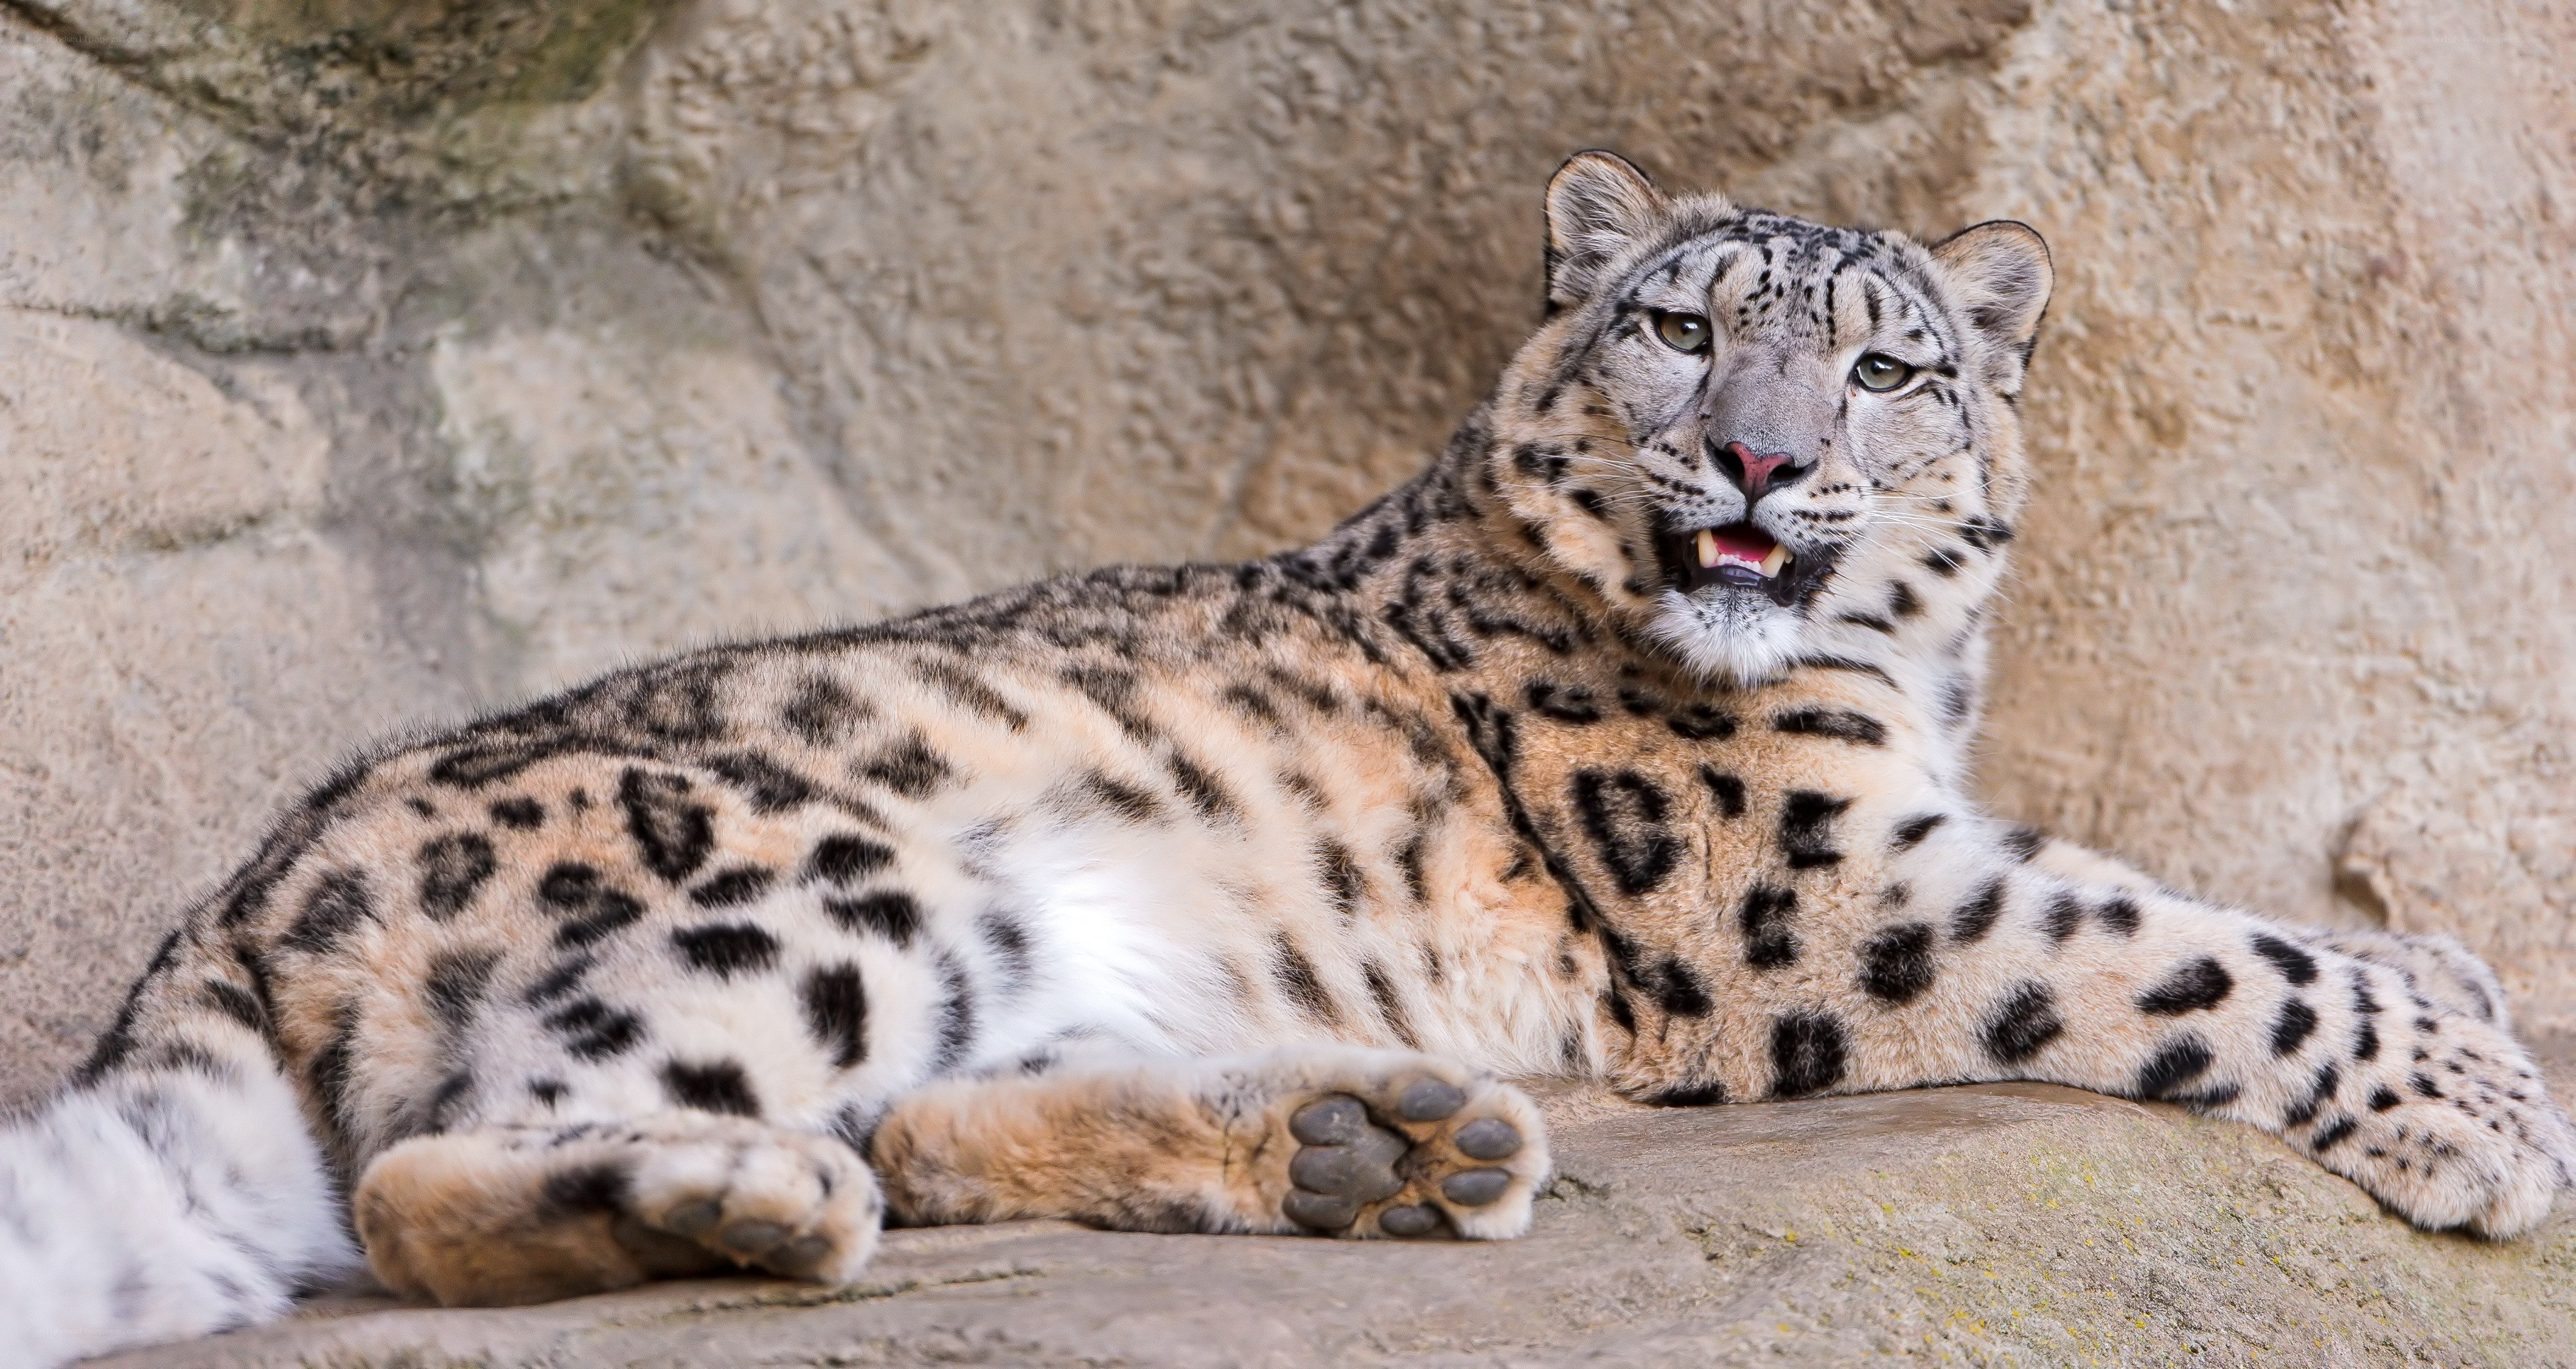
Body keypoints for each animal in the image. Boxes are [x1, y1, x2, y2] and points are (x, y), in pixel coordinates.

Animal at [4, 150, 2567, 1367]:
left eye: (1884, 367)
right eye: (1677, 328)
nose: (1754, 459)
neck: (1897, 681)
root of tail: (238, 890)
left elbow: (2200, 901)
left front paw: (2459, 992)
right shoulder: (1814, 883)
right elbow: (2169, 943)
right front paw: (2477, 1091)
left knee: (923, 1115)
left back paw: (1375, 1144)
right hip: (815, 882)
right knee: (438, 1180)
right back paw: (742, 1201)